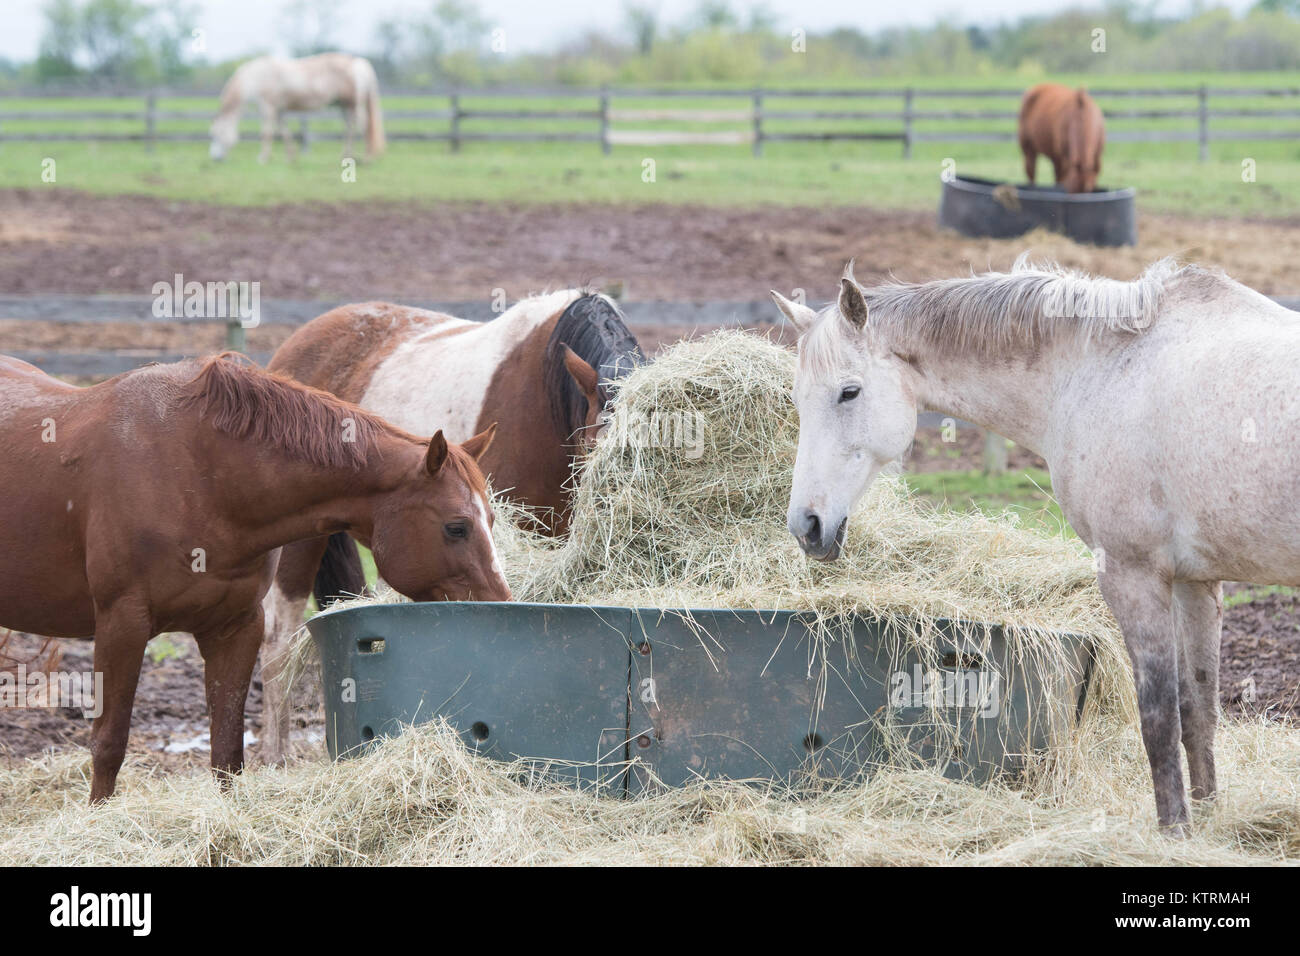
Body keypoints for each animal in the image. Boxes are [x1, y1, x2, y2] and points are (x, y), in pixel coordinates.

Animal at [0, 351, 506, 801]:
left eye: (492, 519)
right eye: (456, 527)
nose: (498, 604)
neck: (198, 474)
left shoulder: (236, 627)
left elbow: (227, 750)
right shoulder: (121, 624)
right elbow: (109, 744)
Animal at [210, 52, 384, 163]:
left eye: (216, 134)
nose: (215, 158)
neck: (255, 78)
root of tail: (359, 63)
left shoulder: (267, 108)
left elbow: (266, 133)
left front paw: (263, 158)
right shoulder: (279, 110)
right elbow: (284, 131)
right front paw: (290, 156)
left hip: (352, 104)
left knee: (363, 126)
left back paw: (367, 157)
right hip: (343, 106)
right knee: (349, 128)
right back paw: (346, 155)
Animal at [769, 257, 1300, 832]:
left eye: (849, 392)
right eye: (797, 399)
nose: (806, 525)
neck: (1104, 368)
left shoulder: (1133, 575)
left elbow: (1158, 717)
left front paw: (1173, 831)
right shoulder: (1195, 583)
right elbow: (1197, 711)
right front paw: (1202, 823)